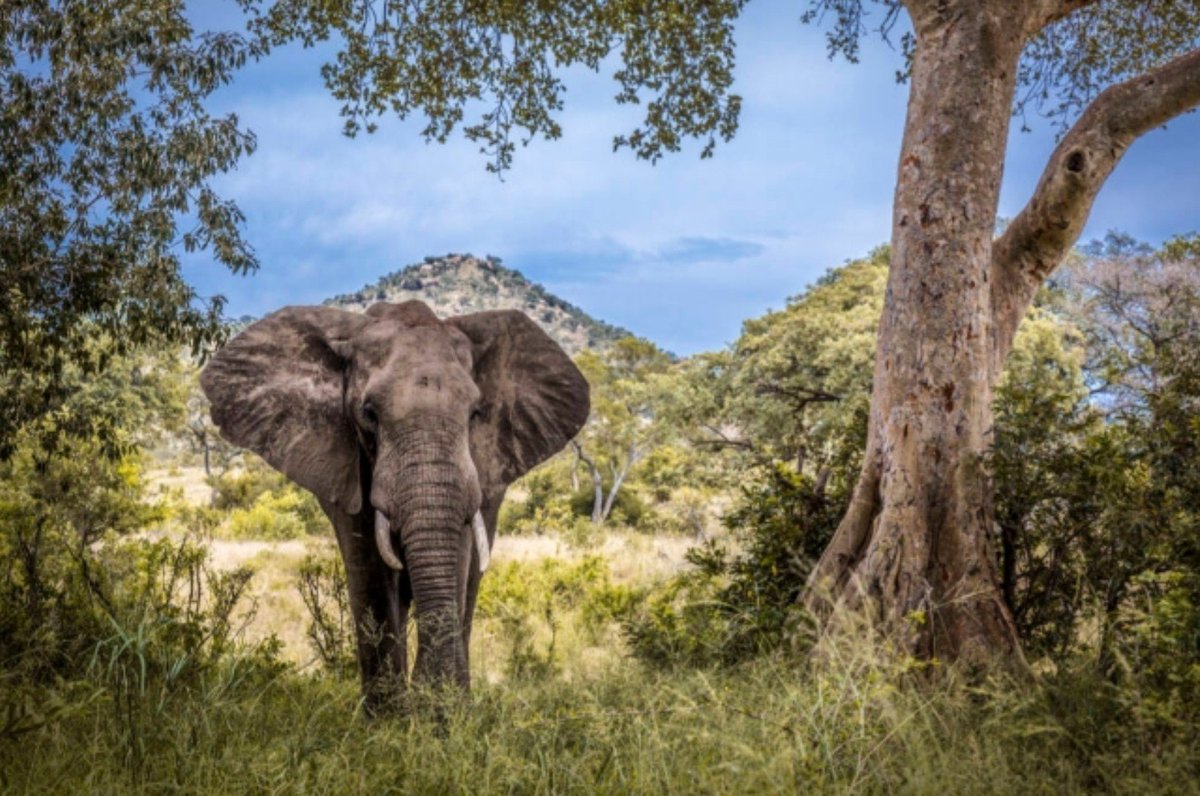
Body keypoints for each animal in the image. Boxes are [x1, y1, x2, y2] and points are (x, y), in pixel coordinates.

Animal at [200, 299, 589, 711]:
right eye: (369, 414)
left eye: (475, 414)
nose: (428, 698)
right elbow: (372, 570)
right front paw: (391, 718)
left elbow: (457, 561)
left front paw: (443, 711)